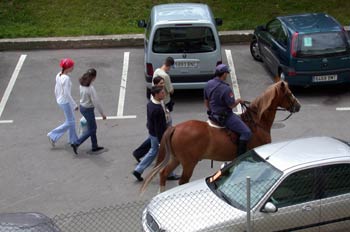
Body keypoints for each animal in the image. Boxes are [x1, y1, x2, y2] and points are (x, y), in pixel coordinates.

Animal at [139, 80, 300, 193]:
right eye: (288, 93)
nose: (298, 106)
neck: (256, 122)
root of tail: (175, 127)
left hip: (176, 159)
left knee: (164, 173)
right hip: (188, 163)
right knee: (182, 181)